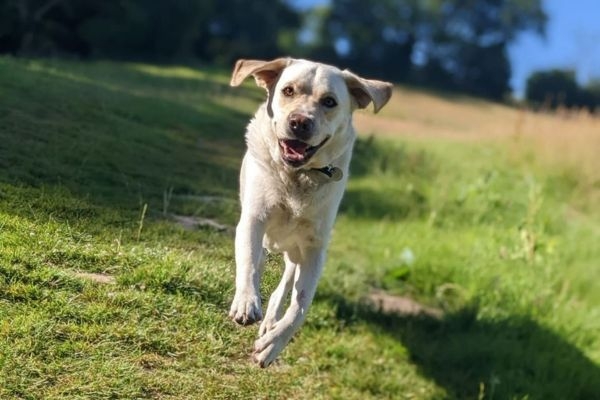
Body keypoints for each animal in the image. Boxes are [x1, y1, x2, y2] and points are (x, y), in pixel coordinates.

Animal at [227, 57, 392, 368]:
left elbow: (301, 304)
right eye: (288, 90)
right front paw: (246, 302)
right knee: (261, 260)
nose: (300, 122)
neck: (297, 177)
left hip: (295, 252)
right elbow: (249, 264)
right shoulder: (253, 220)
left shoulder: (314, 247)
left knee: (285, 285)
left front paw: (272, 345)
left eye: (329, 101)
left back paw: (270, 321)